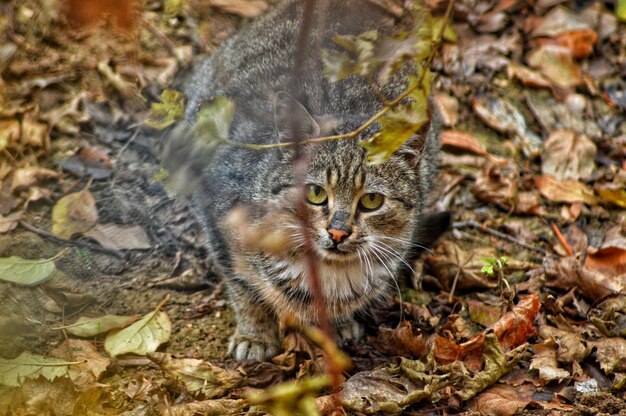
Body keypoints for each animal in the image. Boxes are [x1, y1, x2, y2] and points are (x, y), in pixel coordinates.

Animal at [178, 0, 446, 360]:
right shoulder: (217, 218)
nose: (338, 232)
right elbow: (243, 287)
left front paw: (340, 323)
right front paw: (255, 334)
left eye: (371, 200)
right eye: (316, 193)